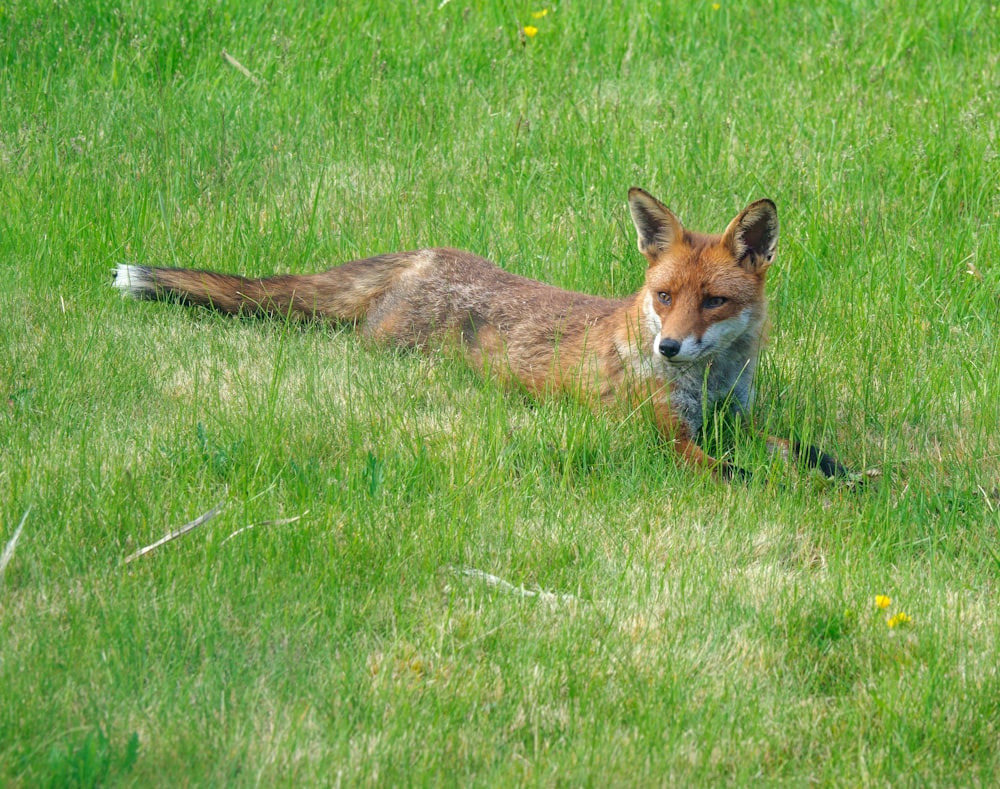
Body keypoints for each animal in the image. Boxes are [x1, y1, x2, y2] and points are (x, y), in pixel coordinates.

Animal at [115, 188, 852, 480]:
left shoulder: (738, 422)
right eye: (664, 297)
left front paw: (851, 478)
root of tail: (428, 254)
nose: (666, 346)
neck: (709, 384)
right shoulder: (668, 441)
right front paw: (811, 497)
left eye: (714, 302)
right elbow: (751, 479)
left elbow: (811, 455)